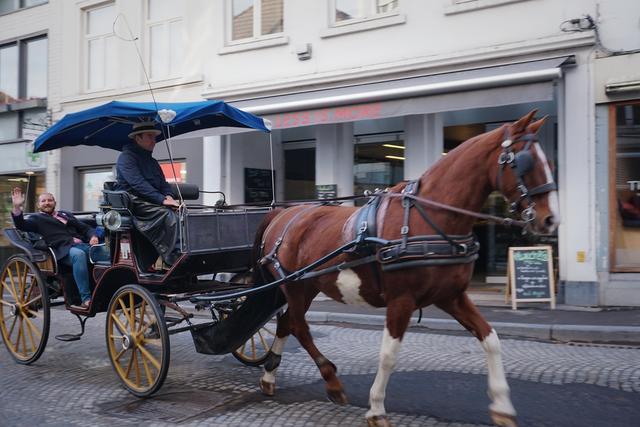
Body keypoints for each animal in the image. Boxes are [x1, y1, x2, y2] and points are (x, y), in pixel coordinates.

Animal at [252, 111, 556, 427]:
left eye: (550, 163)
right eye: (524, 162)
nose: (550, 219)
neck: (430, 219)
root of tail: (284, 212)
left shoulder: (451, 296)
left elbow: (491, 339)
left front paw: (502, 407)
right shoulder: (401, 300)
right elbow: (388, 354)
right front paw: (376, 408)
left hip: (308, 285)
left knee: (287, 322)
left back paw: (270, 376)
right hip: (295, 286)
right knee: (299, 326)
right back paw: (331, 380)